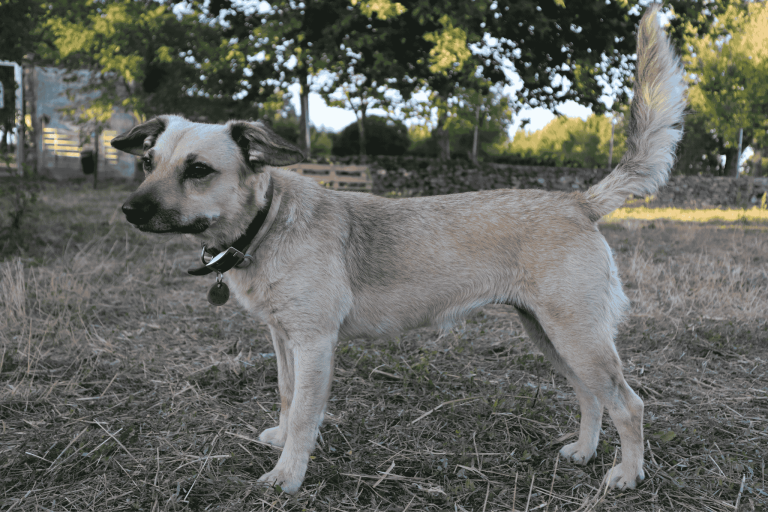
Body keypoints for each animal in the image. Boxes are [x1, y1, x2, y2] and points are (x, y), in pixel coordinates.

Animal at [109, 3, 684, 492]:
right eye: (148, 163)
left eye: (198, 170)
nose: (129, 211)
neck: (267, 223)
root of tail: (577, 201)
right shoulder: (283, 339)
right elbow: (287, 395)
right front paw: (280, 441)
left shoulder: (314, 344)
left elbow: (305, 414)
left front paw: (288, 474)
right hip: (551, 336)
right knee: (591, 396)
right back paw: (585, 451)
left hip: (577, 336)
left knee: (629, 405)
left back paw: (627, 475)